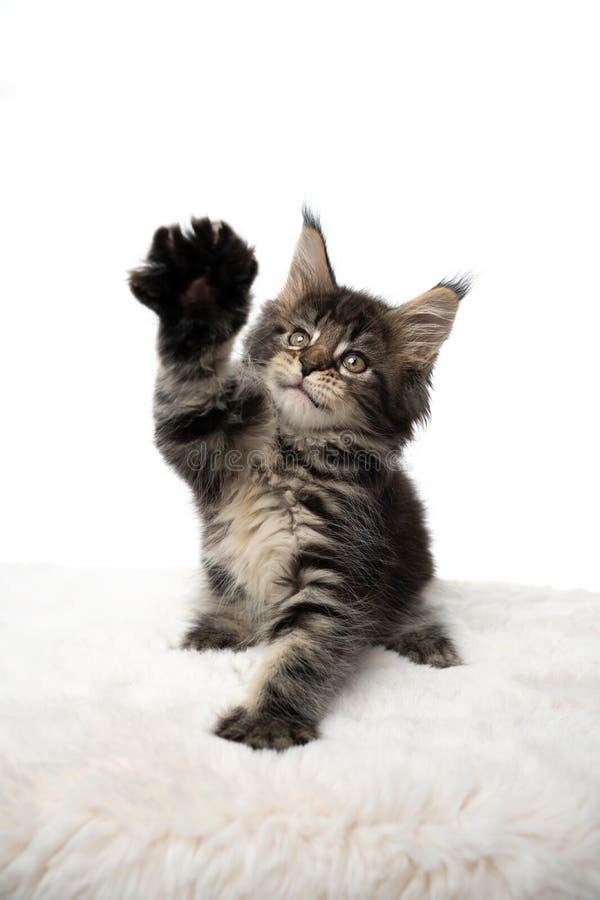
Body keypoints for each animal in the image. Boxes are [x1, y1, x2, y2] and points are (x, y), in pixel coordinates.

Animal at [130, 211, 468, 752]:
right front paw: (199, 288)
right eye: (299, 338)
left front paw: (267, 723)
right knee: (233, 600)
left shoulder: (336, 575)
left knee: (410, 605)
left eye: (353, 362)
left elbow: (301, 657)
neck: (293, 453)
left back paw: (424, 638)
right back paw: (220, 628)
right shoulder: (200, 441)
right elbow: (190, 383)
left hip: (408, 565)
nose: (309, 365)